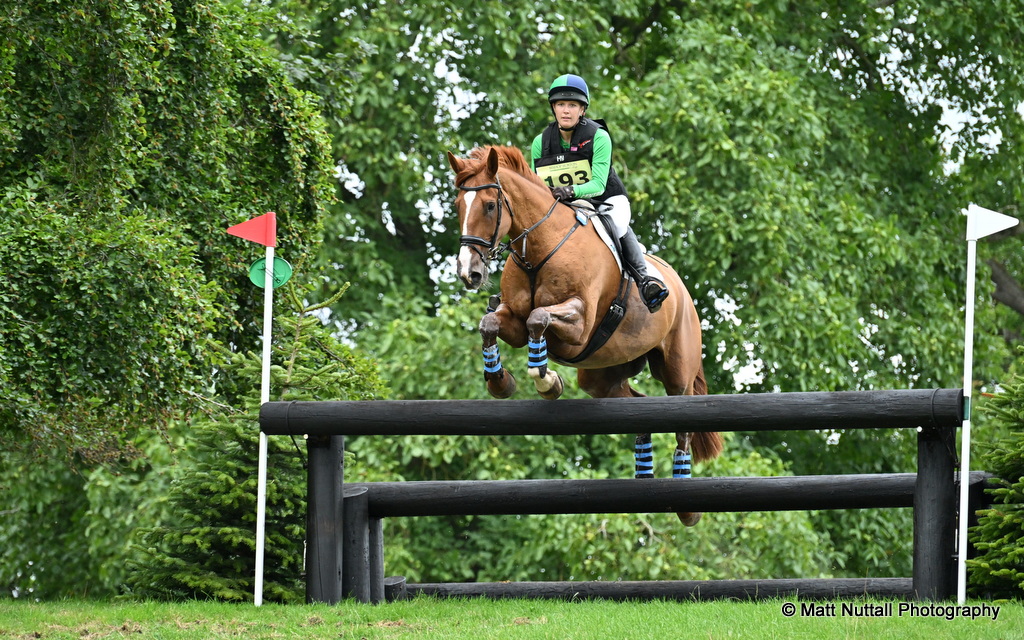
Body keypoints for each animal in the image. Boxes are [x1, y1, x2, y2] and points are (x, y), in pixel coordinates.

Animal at [446, 145, 723, 526]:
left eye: (489, 205)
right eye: (459, 205)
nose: (468, 272)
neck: (539, 251)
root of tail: (682, 290)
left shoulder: (579, 325)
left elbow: (539, 318)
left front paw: (546, 381)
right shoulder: (513, 321)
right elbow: (492, 325)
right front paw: (501, 383)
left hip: (677, 370)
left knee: (683, 426)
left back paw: (686, 503)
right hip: (601, 375)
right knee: (636, 405)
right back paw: (644, 470)